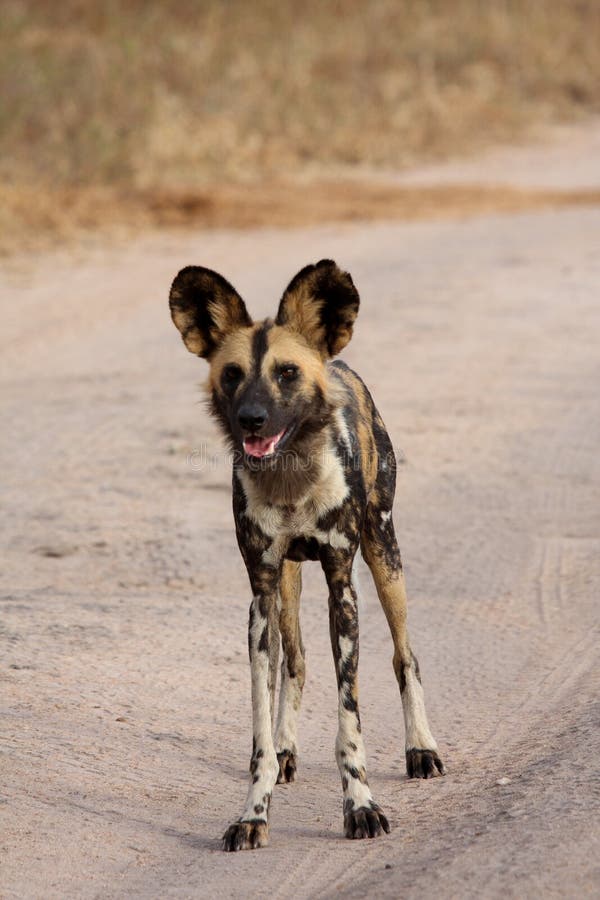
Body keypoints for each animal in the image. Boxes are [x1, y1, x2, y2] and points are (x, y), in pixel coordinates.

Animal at [169, 256, 446, 848]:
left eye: (287, 373)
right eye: (233, 374)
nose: (251, 418)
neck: (291, 479)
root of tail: (337, 359)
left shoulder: (342, 586)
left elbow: (350, 725)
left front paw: (361, 807)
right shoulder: (260, 594)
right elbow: (259, 730)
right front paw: (254, 811)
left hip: (384, 555)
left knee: (405, 655)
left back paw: (421, 748)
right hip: (289, 584)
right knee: (294, 662)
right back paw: (288, 747)